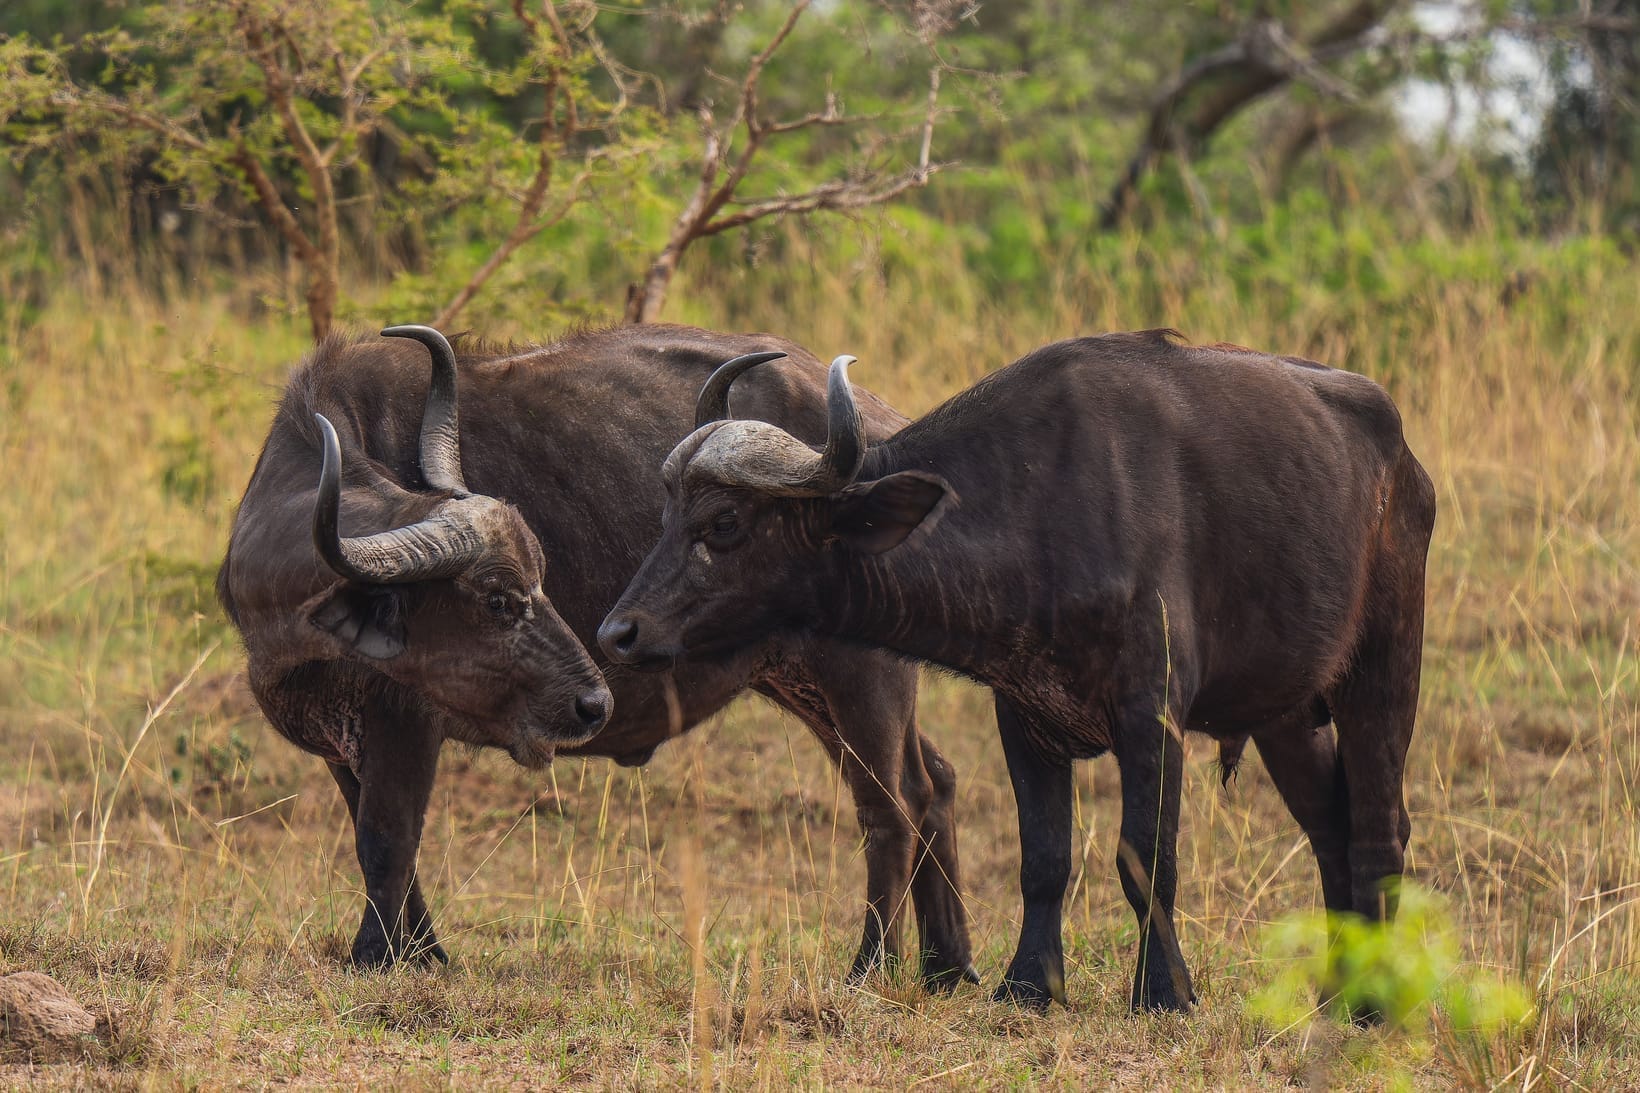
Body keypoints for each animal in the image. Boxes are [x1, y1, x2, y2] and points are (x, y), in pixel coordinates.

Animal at [217, 324, 975, 985]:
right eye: (499, 599)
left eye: (535, 583)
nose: (593, 702)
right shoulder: (339, 735)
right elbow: (374, 839)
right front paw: (423, 952)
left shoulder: (406, 718)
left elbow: (388, 837)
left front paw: (377, 958)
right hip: (806, 680)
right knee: (934, 778)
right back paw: (950, 966)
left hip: (862, 671)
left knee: (891, 803)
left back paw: (872, 967)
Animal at [601, 330, 1436, 1013]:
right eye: (666, 516)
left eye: (724, 524)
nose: (617, 631)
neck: (1037, 509)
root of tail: (1402, 461)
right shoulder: (1024, 714)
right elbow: (1045, 858)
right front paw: (1030, 984)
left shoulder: (1152, 712)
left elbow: (1146, 856)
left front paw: (1163, 992)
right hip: (1284, 714)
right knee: (1331, 826)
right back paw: (1337, 989)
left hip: (1385, 668)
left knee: (1380, 825)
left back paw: (1374, 1001)